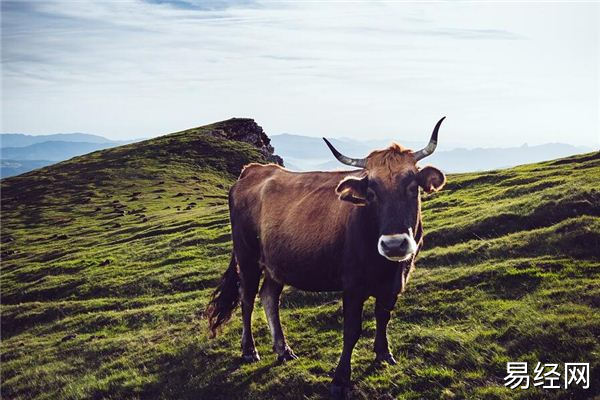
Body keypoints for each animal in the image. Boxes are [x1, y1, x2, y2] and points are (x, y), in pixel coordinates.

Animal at [206, 115, 446, 396]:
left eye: (412, 186)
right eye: (371, 191)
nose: (394, 244)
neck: (385, 267)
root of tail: (253, 170)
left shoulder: (395, 282)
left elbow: (383, 317)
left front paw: (384, 355)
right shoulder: (352, 285)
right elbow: (351, 330)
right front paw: (340, 378)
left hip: (276, 263)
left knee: (268, 297)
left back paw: (283, 350)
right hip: (247, 257)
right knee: (247, 299)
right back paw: (249, 350)